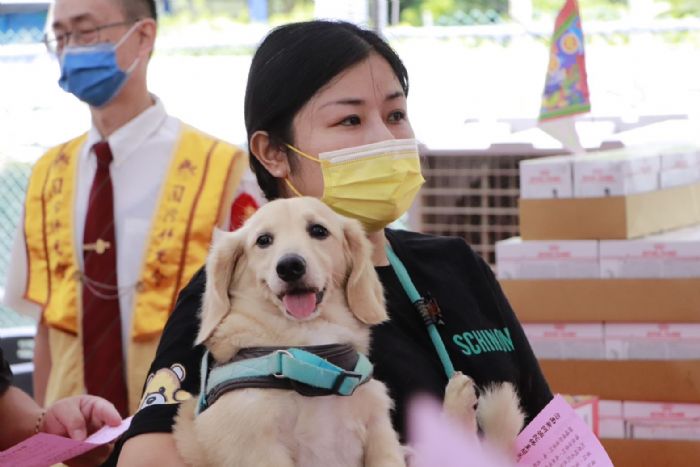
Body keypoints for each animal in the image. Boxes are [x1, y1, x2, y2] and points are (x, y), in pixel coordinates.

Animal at [174, 197, 404, 467]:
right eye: (263, 240)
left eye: (318, 230)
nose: (290, 266)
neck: (313, 361)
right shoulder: (254, 443)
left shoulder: (378, 426)